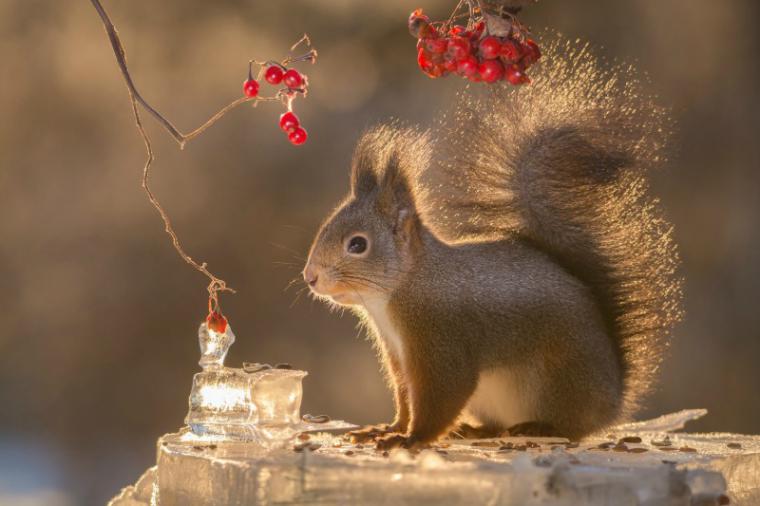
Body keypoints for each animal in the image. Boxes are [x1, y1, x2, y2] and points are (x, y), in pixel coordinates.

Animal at [302, 41, 684, 448]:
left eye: (358, 245)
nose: (310, 277)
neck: (404, 286)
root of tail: (613, 400)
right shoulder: (398, 357)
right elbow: (405, 399)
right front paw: (388, 428)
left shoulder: (441, 339)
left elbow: (442, 395)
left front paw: (410, 439)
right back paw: (478, 429)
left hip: (559, 381)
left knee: (573, 426)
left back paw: (541, 426)